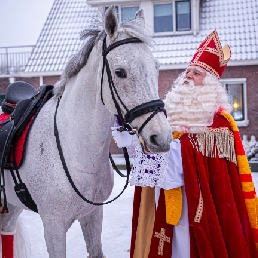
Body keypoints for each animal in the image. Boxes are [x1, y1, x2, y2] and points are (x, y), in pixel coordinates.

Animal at [2, 6, 172, 258]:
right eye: (120, 72)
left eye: (156, 67)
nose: (161, 137)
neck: (73, 149)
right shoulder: (53, 225)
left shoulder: (93, 215)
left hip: (12, 207)